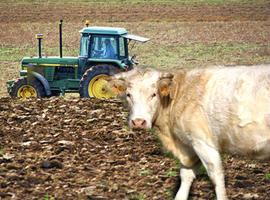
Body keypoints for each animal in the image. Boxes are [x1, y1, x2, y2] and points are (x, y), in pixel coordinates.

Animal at [108, 65, 270, 199]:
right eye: (128, 95)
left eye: (154, 94)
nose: (138, 122)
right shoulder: (188, 146)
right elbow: (186, 174)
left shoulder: (202, 142)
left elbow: (216, 176)